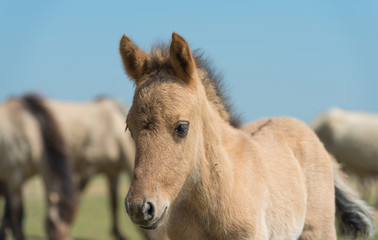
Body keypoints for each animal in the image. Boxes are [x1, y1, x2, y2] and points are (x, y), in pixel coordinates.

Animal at [0, 95, 77, 240]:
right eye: (52, 223)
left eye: (70, 223)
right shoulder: (14, 176)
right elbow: (17, 212)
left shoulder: (17, 180)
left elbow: (8, 213)